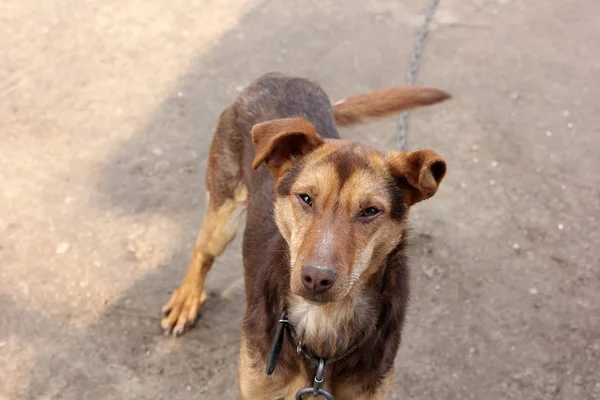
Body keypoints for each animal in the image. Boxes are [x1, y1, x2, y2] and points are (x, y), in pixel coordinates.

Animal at [161, 72, 450, 400]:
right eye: (306, 198)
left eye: (370, 211)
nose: (316, 278)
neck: (321, 324)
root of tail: (279, 76)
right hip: (224, 211)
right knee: (203, 251)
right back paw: (187, 300)